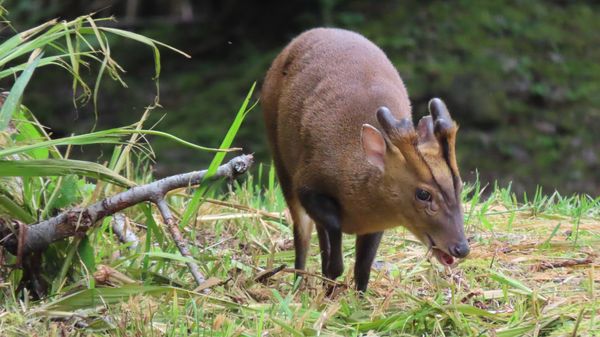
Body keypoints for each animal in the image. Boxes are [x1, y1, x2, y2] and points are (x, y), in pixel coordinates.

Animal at [262, 28, 468, 292]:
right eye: (423, 194)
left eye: (459, 185)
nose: (462, 248)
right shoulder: (307, 182)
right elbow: (331, 231)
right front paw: (331, 277)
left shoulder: (378, 222)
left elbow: (363, 267)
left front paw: (355, 296)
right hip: (279, 156)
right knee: (302, 234)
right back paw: (298, 282)